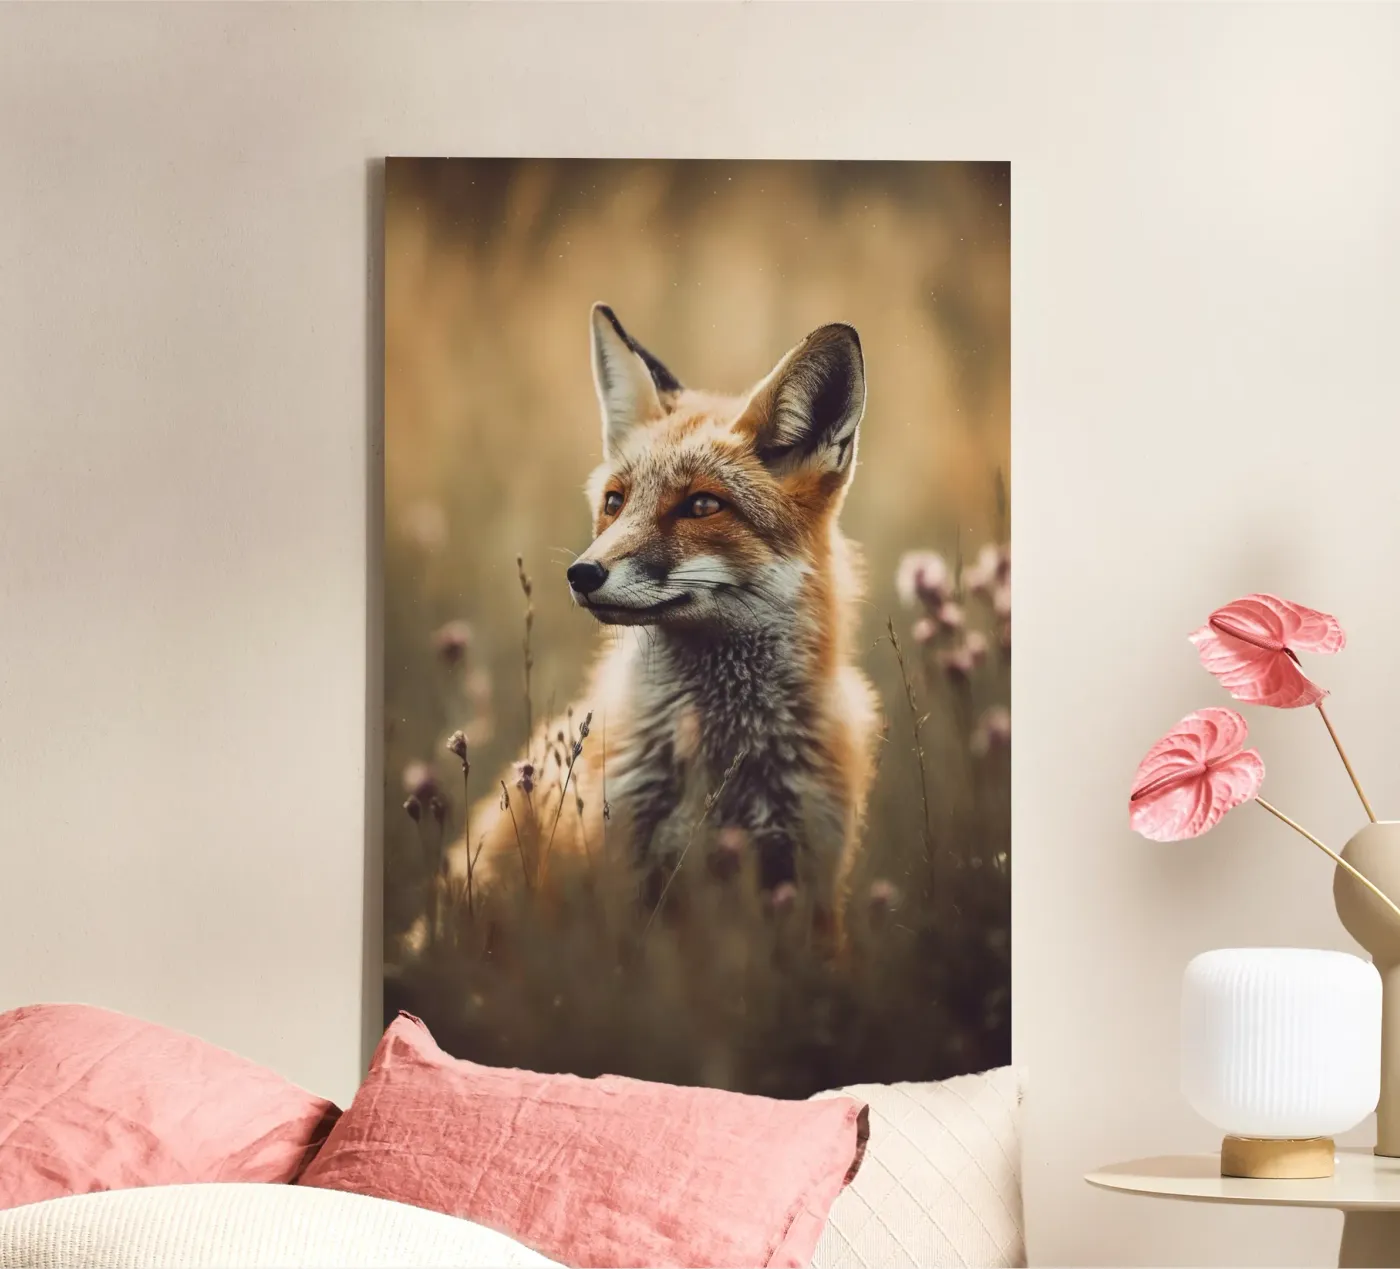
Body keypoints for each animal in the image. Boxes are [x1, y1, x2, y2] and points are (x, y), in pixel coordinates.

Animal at [423, 303, 881, 943]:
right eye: (615, 502)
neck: (723, 760)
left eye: (703, 506)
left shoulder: (809, 880)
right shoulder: (623, 875)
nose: (581, 573)